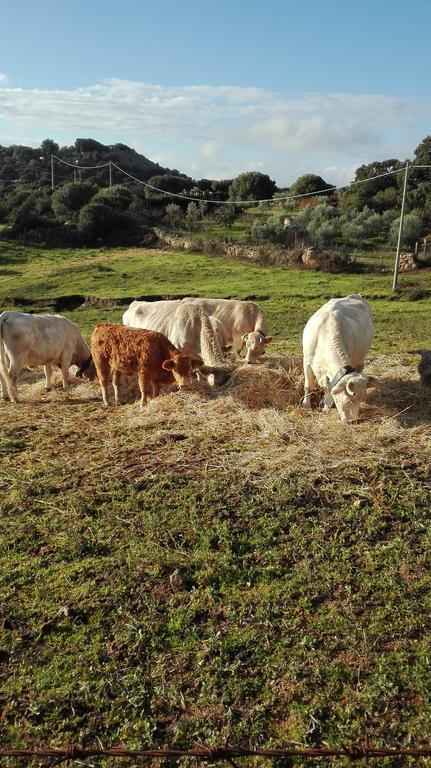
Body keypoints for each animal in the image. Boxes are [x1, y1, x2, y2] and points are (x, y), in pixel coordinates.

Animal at [300, 296, 374, 426]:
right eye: (348, 400)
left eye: (362, 400)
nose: (354, 421)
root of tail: (356, 295)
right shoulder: (307, 361)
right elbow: (308, 386)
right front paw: (306, 405)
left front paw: (325, 404)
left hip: (361, 359)